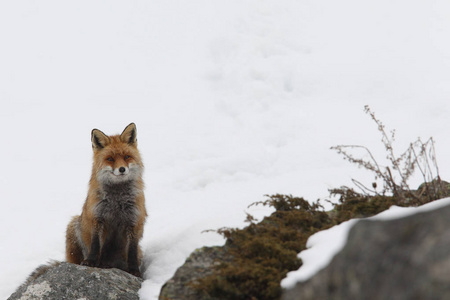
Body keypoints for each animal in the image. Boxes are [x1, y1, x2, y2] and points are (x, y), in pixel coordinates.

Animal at [66, 123, 146, 278]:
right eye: (110, 159)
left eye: (127, 157)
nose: (122, 169)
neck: (117, 200)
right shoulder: (97, 218)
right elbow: (96, 245)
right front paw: (91, 262)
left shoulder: (134, 221)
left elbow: (132, 251)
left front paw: (134, 271)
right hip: (72, 228)